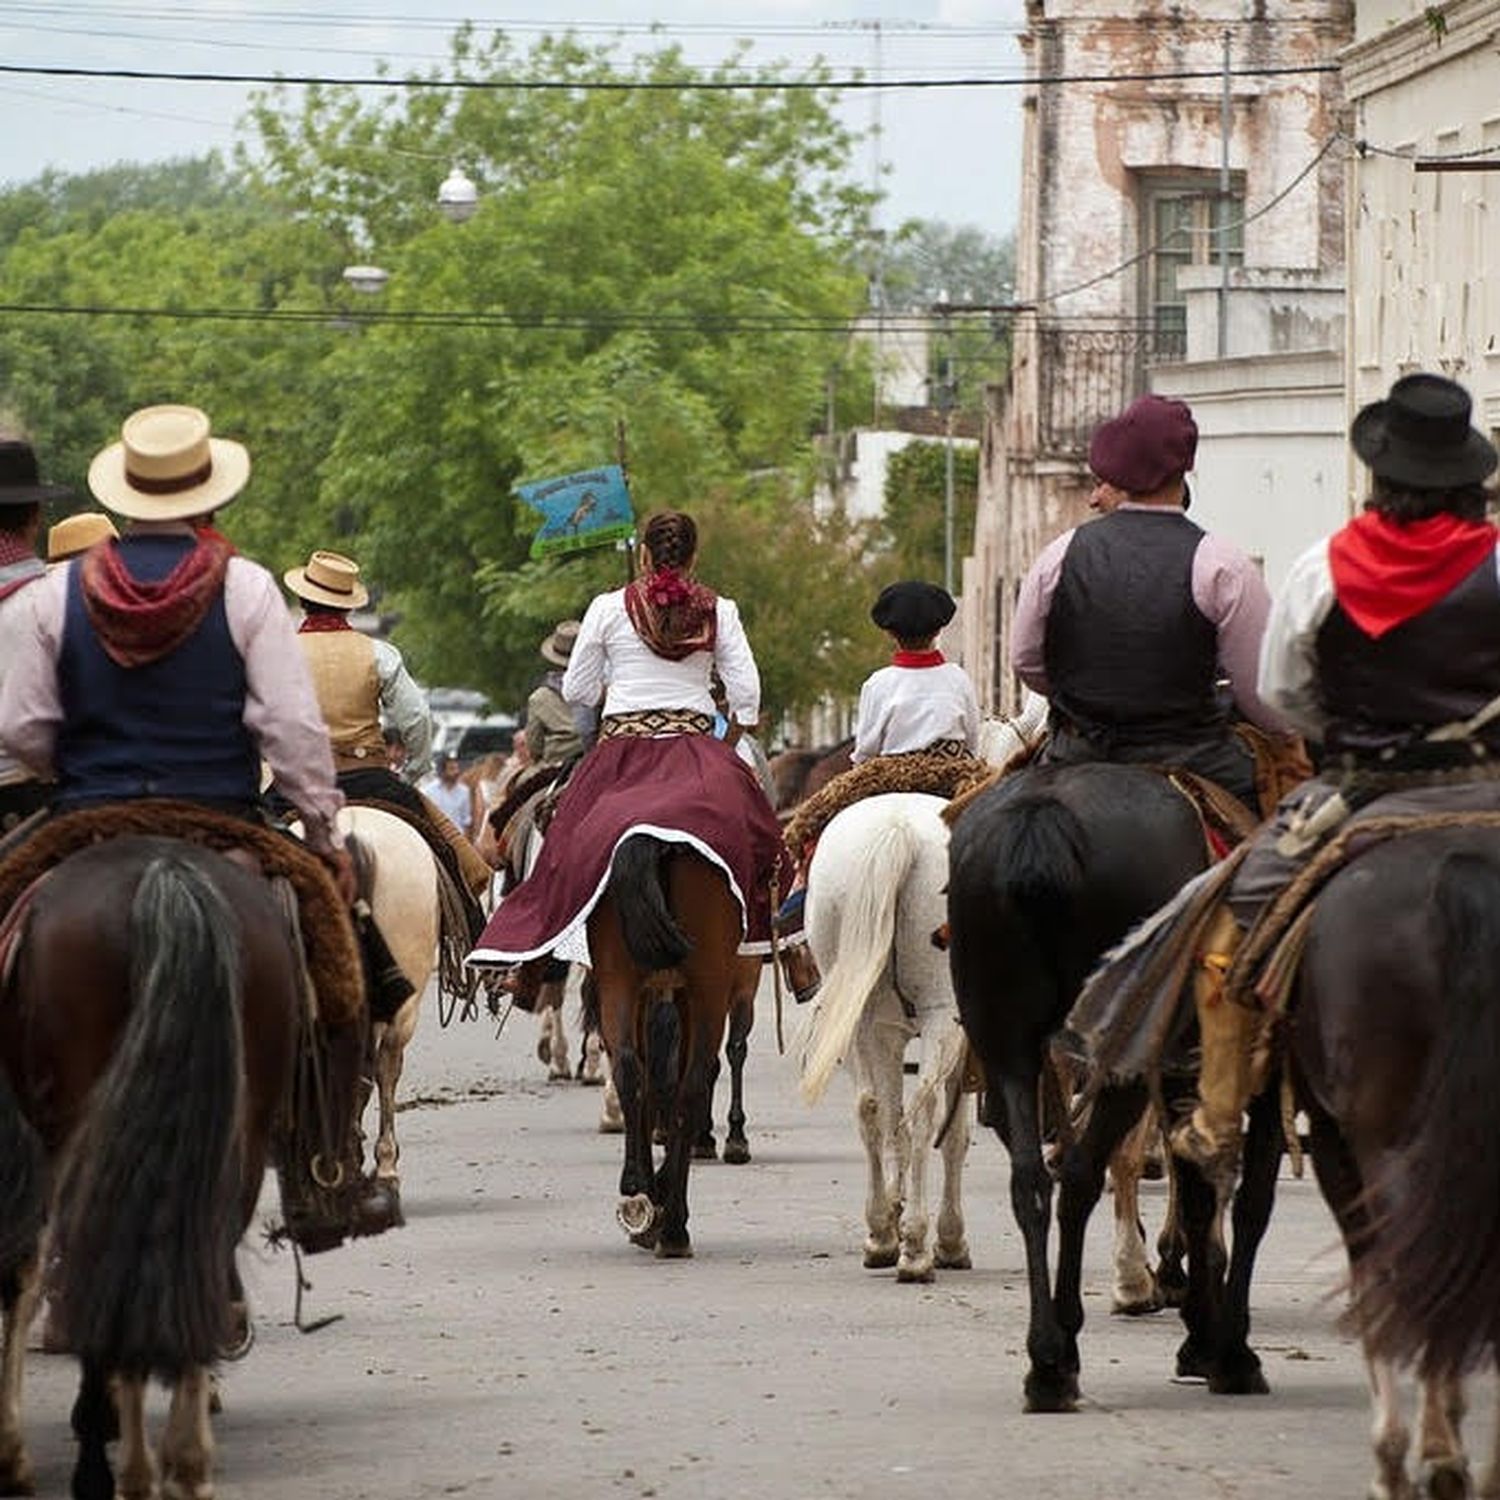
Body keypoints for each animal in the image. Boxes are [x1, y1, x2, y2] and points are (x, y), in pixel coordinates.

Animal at [585, 834, 762, 1254]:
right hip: (708, 987)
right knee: (691, 1082)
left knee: (632, 1070)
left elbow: (652, 1078)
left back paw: (641, 1191)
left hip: (618, 980)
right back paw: (674, 1226)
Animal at [798, 792, 972, 1284]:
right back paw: (915, 1248)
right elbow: (954, 1134)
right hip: (942, 1014)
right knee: (925, 1115)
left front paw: (893, 1215)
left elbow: (892, 1121)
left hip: (860, 1016)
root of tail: (900, 831)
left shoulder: (889, 1034)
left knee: (872, 1110)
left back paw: (882, 1235)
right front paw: (948, 1239)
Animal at [948, 768, 1278, 1410]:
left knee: (1035, 1180)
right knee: (1081, 1171)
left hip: (1004, 1039)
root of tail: (1043, 815)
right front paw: (1223, 1347)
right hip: (1126, 1051)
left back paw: (1048, 1357)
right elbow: (1239, 1197)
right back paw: (1068, 1346)